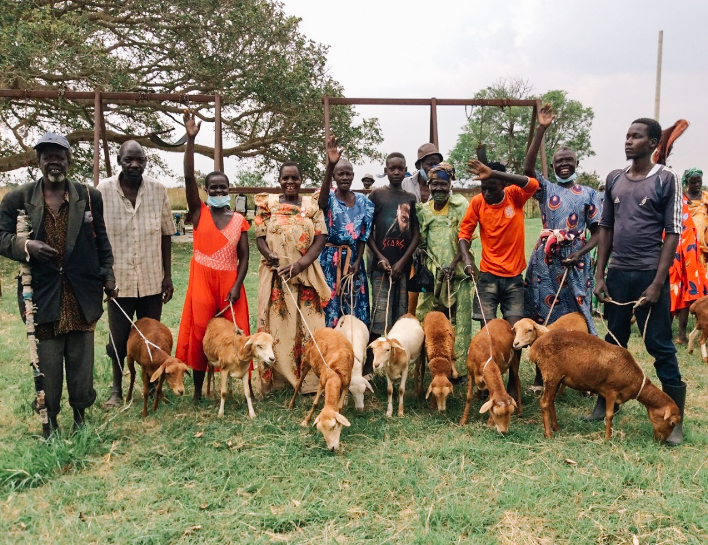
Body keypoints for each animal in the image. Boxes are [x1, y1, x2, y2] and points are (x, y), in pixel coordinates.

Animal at [524, 330, 680, 440]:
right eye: (672, 423)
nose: (662, 440)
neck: (634, 380)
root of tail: (535, 348)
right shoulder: (611, 390)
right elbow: (609, 415)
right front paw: (607, 438)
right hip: (551, 375)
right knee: (544, 403)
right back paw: (548, 434)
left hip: (556, 379)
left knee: (550, 402)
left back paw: (556, 427)